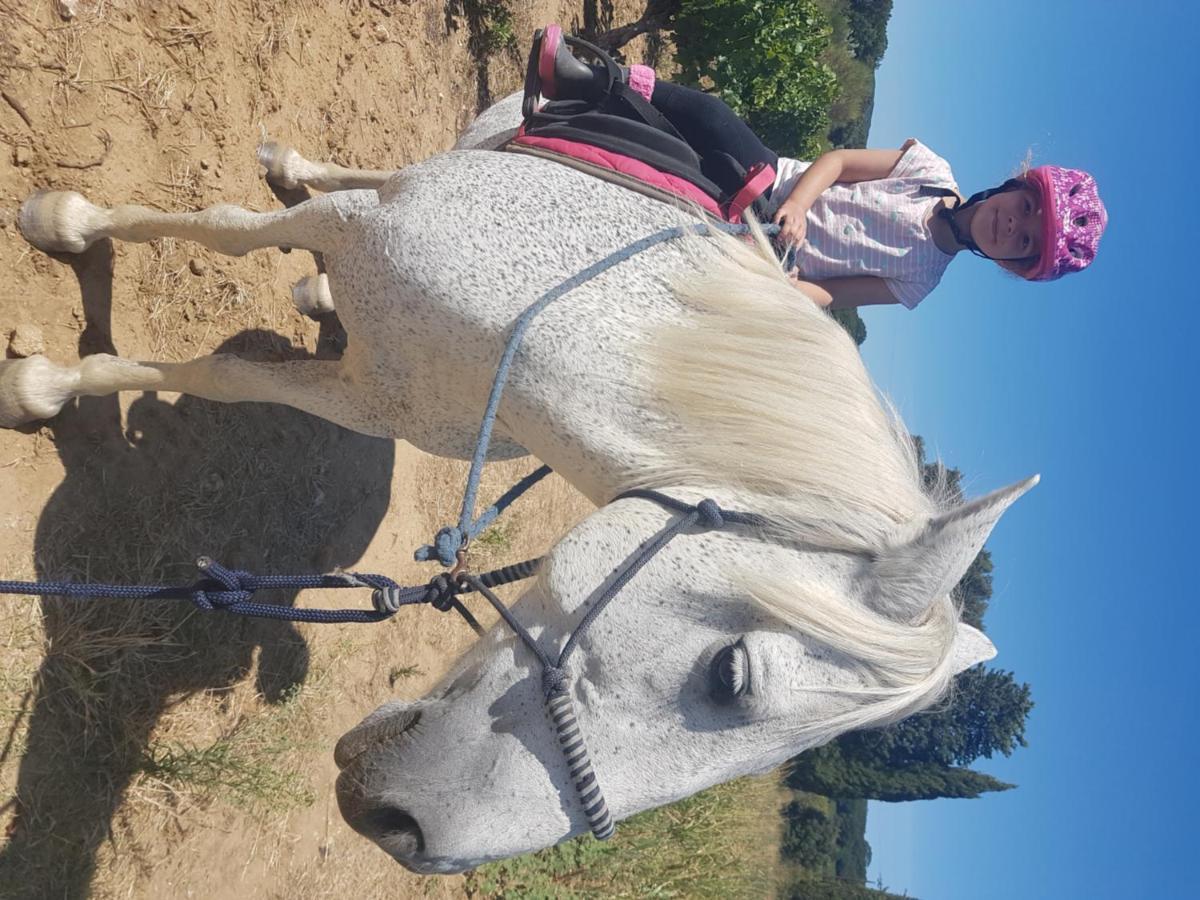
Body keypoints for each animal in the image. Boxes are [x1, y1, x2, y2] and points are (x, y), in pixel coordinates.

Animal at [2, 95, 1032, 878]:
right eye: (729, 675)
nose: (407, 833)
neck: (569, 328)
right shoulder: (352, 230)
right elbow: (221, 236)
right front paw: (56, 290)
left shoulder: (377, 398)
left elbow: (237, 378)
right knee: (354, 178)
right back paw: (288, 172)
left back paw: (318, 288)